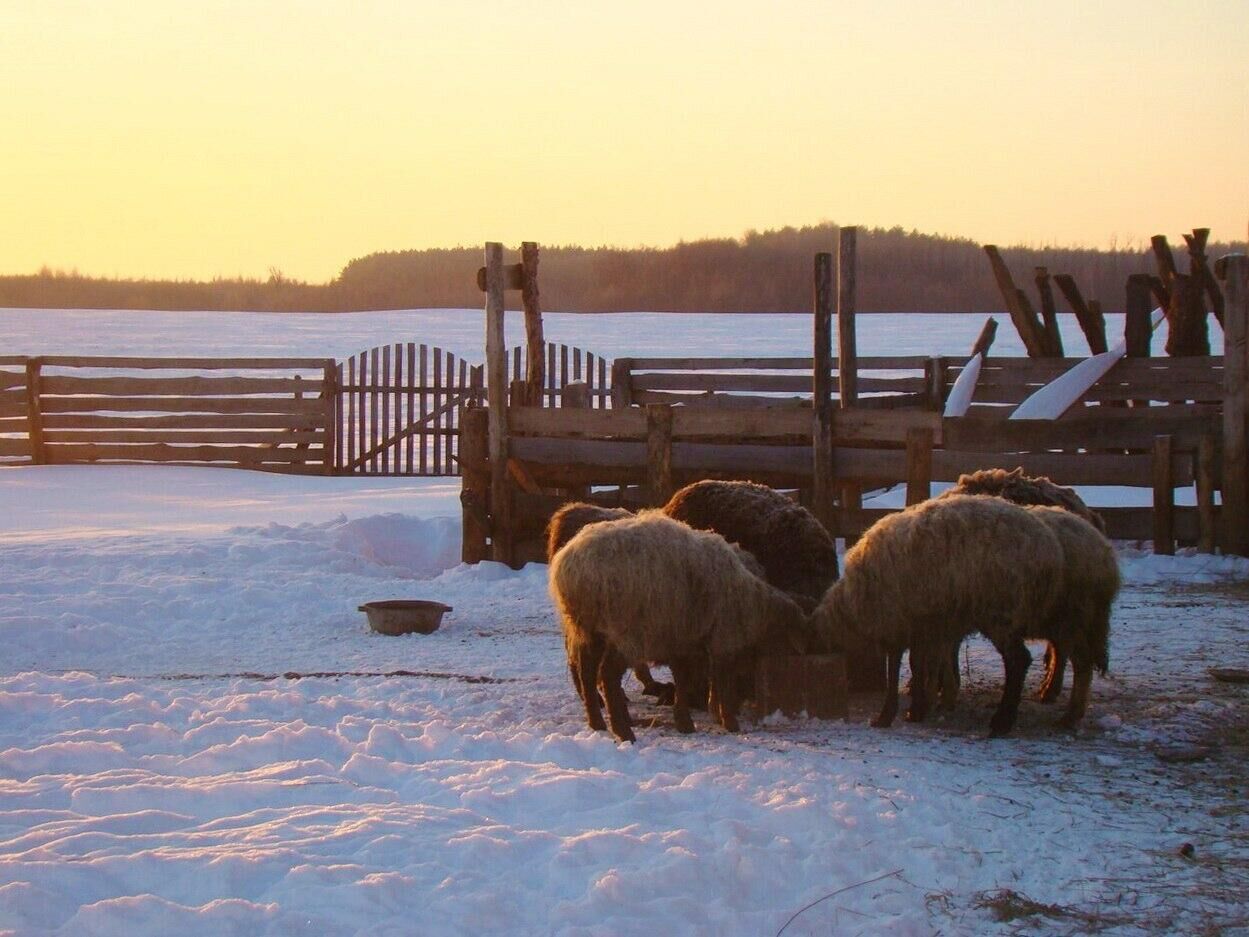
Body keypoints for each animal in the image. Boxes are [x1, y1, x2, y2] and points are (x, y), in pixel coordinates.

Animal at [549, 509, 809, 744]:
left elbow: (688, 680)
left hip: (588, 630)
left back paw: (598, 723)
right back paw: (624, 732)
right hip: (627, 631)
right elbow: (721, 681)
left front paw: (689, 720)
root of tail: (570, 564)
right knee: (608, 675)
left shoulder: (684, 639)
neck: (751, 604)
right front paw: (728, 721)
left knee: (586, 671)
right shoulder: (720, 639)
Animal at [809, 494, 1064, 739]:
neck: (852, 605)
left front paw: (887, 715)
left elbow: (897, 666)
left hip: (1000, 612)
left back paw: (1002, 722)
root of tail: (1048, 547)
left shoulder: (897, 620)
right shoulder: (922, 624)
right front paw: (917, 709)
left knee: (1018, 660)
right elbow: (918, 663)